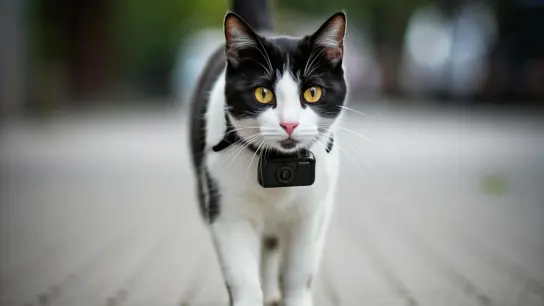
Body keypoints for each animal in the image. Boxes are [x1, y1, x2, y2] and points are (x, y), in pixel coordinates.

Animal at [189, 6, 346, 306]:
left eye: (312, 92)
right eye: (263, 93)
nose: (289, 124)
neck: (279, 161)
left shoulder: (311, 213)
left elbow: (299, 273)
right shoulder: (227, 209)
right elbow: (242, 277)